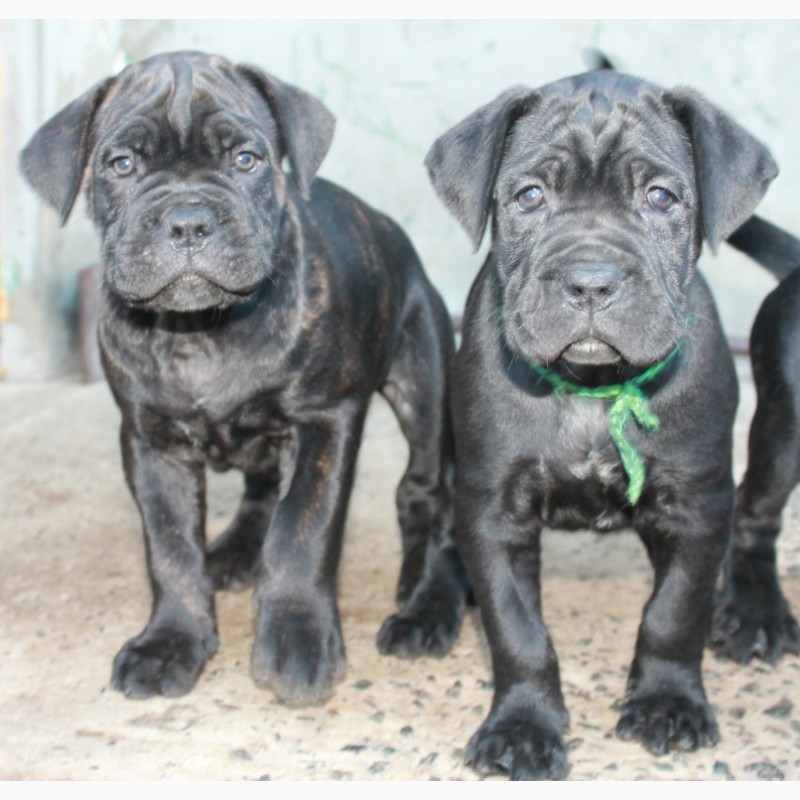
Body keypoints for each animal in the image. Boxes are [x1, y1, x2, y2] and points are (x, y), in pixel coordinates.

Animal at [21, 50, 468, 704]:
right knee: (261, 489)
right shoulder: (150, 443)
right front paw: (171, 641)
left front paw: (298, 641)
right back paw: (234, 552)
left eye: (246, 159)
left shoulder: (324, 422)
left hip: (426, 394)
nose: (187, 220)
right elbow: (169, 549)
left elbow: (302, 530)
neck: (199, 329)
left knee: (427, 495)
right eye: (122, 164)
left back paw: (426, 599)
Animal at [428, 72, 780, 780]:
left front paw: (668, 702)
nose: (591, 282)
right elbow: (517, 629)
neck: (595, 389)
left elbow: (676, 609)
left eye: (660, 196)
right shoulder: (493, 510)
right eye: (530, 196)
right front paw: (523, 727)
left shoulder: (698, 503)